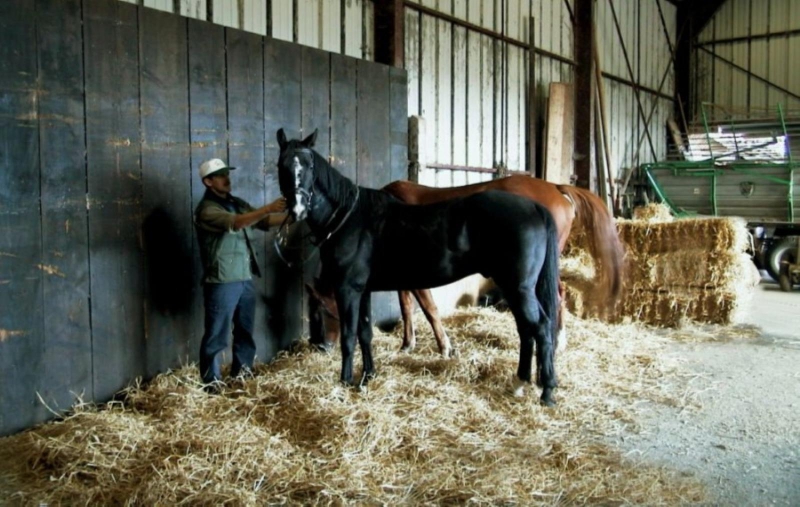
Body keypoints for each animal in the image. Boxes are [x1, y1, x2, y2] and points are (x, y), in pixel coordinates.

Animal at [278, 129, 560, 406]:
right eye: (282, 165)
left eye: (309, 165)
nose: (298, 209)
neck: (350, 219)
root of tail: (535, 208)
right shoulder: (363, 290)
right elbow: (365, 333)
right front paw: (367, 376)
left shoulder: (348, 290)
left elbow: (349, 336)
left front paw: (345, 382)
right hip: (514, 288)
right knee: (526, 330)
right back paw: (520, 384)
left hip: (518, 288)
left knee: (541, 328)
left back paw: (546, 393)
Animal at [308, 175, 624, 358]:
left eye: (328, 310)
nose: (325, 346)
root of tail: (555, 189)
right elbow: (407, 307)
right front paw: (407, 344)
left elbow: (429, 309)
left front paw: (445, 347)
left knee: (557, 295)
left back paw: (557, 342)